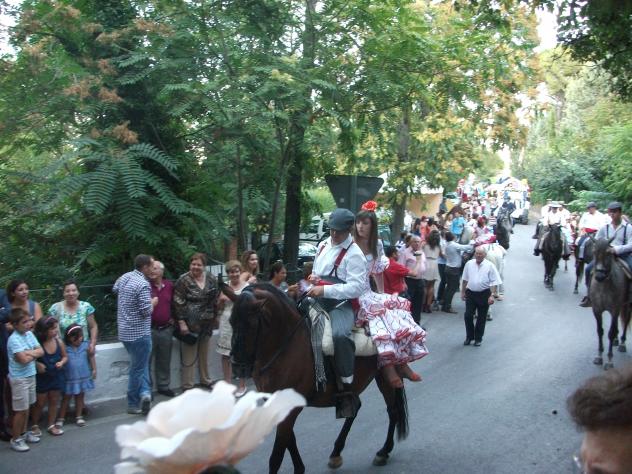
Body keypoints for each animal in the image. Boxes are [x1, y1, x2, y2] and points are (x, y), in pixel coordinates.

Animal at [227, 283, 409, 473]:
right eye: (231, 321)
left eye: (251, 324)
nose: (238, 367)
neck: (286, 346)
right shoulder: (279, 404)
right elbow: (289, 440)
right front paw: (299, 468)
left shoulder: (290, 406)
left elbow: (277, 455)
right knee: (356, 408)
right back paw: (336, 453)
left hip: (384, 377)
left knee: (393, 411)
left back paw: (384, 451)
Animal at [589, 239, 631, 369]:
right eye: (594, 252)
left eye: (608, 254)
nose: (599, 276)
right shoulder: (597, 310)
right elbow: (600, 331)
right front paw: (599, 356)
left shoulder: (614, 309)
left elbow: (610, 333)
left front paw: (609, 360)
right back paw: (617, 340)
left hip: (627, 305)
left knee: (626, 320)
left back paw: (622, 343)